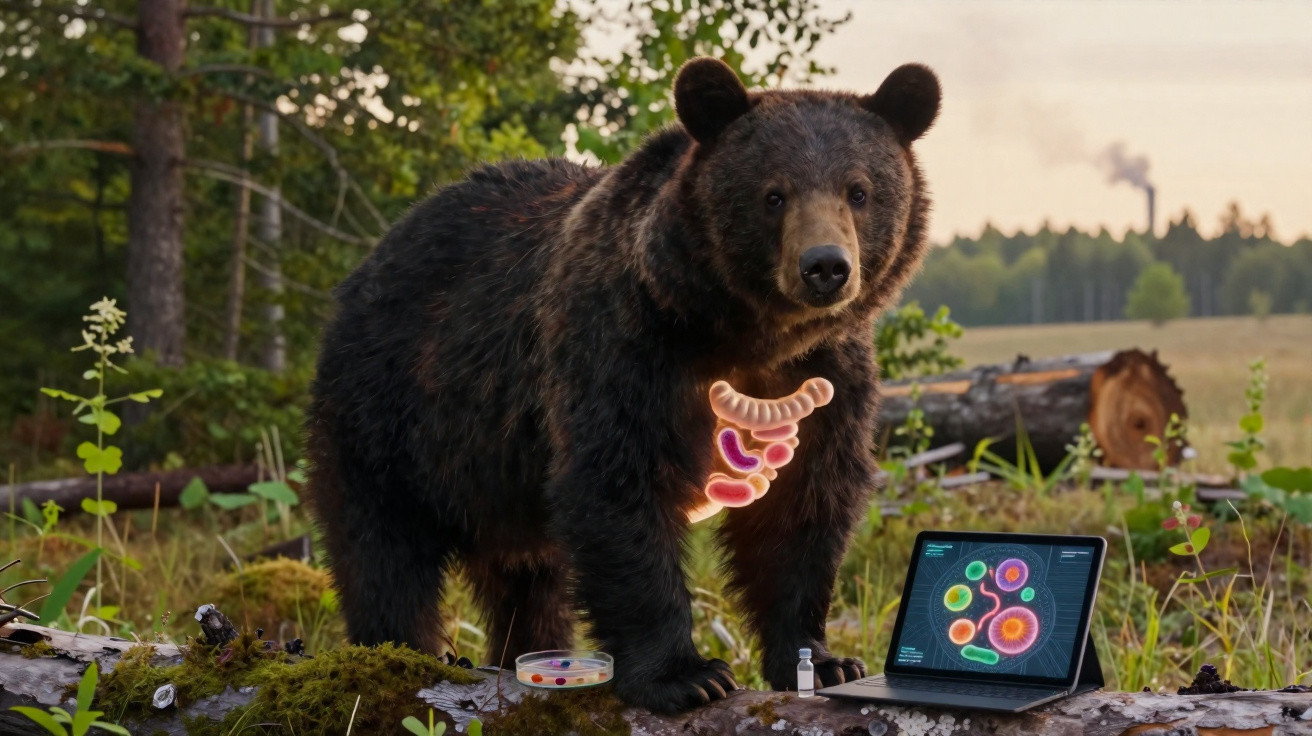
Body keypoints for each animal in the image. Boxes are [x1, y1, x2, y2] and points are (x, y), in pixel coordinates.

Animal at [306, 56, 940, 714]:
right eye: (773, 193)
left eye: (859, 191)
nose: (825, 266)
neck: (746, 335)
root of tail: (373, 259)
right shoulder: (626, 345)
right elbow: (620, 484)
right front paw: (686, 675)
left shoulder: (828, 374)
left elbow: (804, 505)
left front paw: (822, 660)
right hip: (394, 411)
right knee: (381, 546)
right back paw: (397, 650)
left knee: (529, 577)